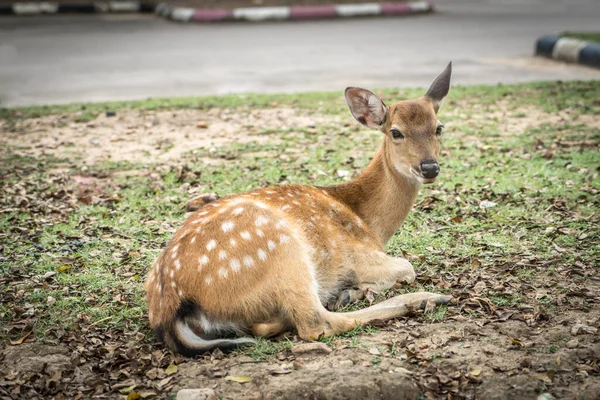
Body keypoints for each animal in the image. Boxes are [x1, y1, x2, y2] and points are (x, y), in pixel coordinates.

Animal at [146, 63, 454, 356]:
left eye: (439, 128)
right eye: (395, 132)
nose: (429, 167)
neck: (367, 221)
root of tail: (170, 308)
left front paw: (352, 291)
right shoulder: (357, 255)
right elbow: (407, 267)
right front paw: (354, 290)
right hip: (283, 250)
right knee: (315, 323)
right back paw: (424, 298)